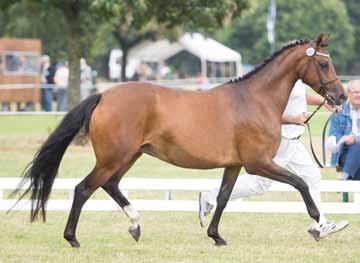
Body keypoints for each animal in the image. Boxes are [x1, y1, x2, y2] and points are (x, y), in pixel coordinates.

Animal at [13, 34, 346, 248]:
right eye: (324, 64)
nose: (341, 96)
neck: (254, 100)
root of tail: (104, 95)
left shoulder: (235, 165)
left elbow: (223, 198)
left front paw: (216, 236)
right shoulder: (258, 163)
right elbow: (301, 184)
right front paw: (318, 224)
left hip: (129, 156)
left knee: (110, 185)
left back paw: (135, 224)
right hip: (113, 158)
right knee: (84, 189)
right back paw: (73, 239)